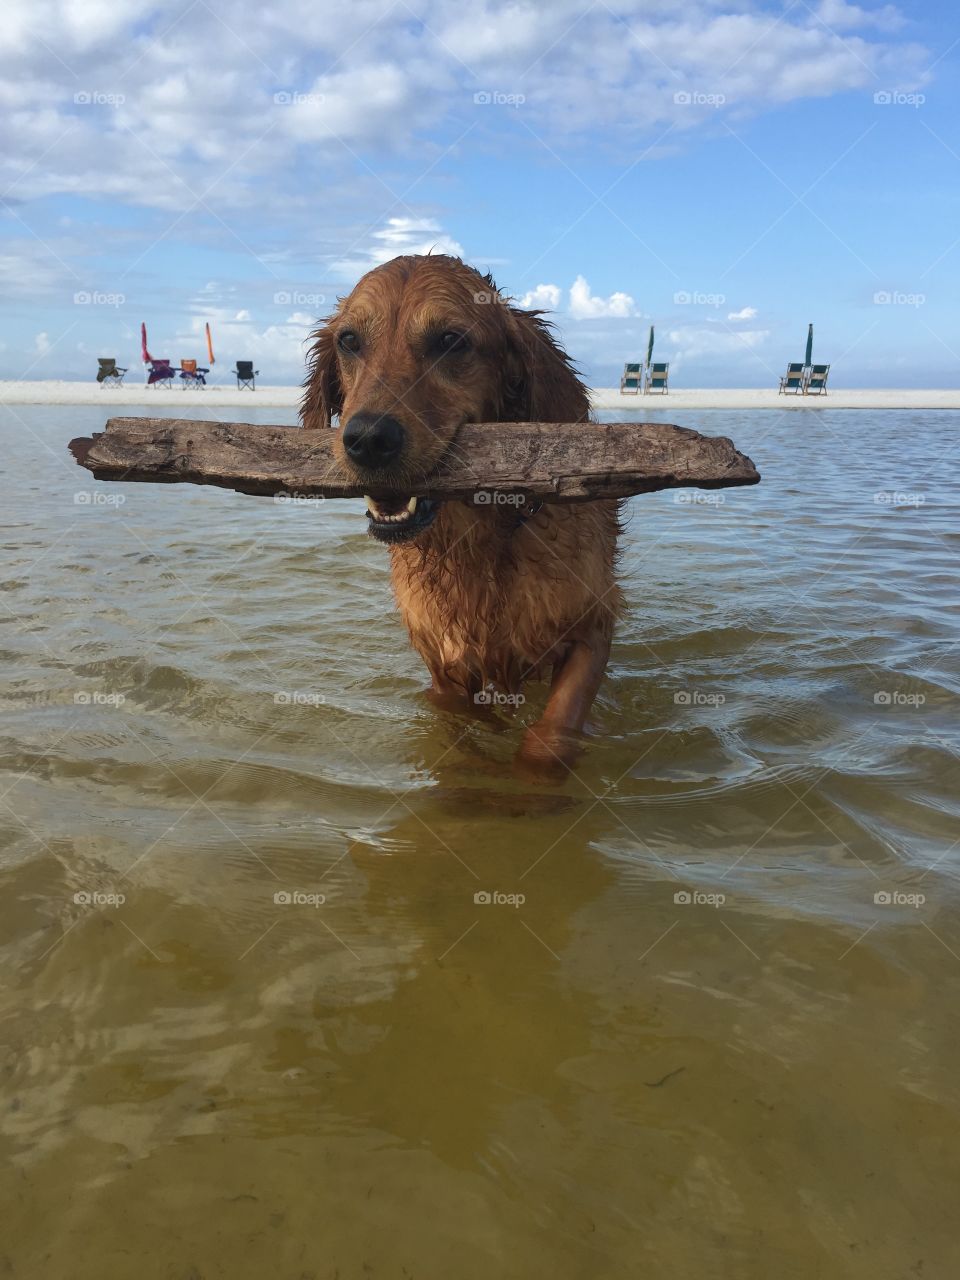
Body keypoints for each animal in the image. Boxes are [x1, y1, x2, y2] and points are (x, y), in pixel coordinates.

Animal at [304, 252, 627, 768]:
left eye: (450, 341)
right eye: (349, 341)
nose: (368, 439)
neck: (480, 538)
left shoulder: (591, 630)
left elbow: (551, 734)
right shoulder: (446, 664)